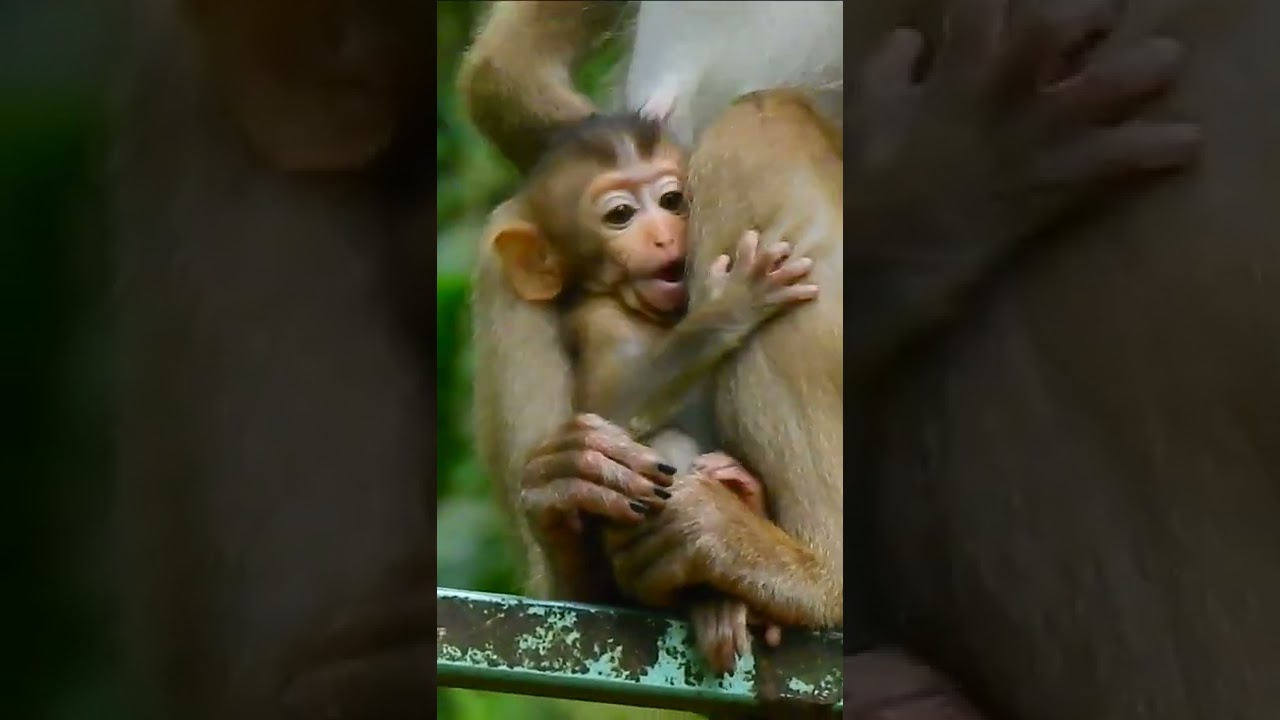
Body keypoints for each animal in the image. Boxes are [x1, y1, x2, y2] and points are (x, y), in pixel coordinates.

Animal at [463, 1, 1203, 717]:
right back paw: (580, 559)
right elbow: (503, 72)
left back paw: (805, 576)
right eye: (621, 215)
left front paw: (933, 191)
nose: (659, 233)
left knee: (756, 130)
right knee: (512, 248)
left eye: (670, 201)